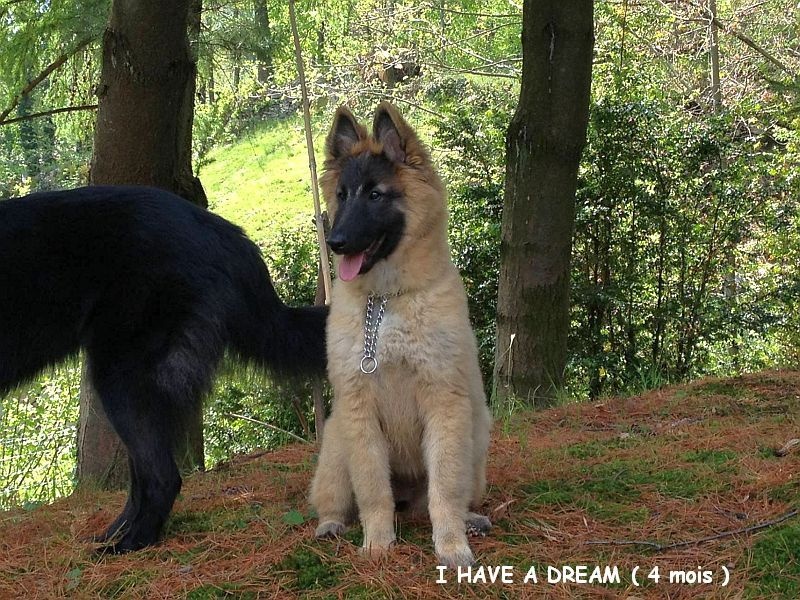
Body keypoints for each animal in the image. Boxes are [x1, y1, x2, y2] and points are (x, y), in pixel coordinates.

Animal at [0, 185, 327, 552]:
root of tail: (221, 229)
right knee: (143, 478)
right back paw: (116, 534)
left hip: (119, 377)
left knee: (162, 476)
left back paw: (130, 545)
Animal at [309, 102, 492, 567]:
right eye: (341, 196)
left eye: (376, 195)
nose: (335, 242)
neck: (386, 301)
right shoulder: (359, 411)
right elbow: (373, 490)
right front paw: (377, 544)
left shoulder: (444, 402)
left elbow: (444, 490)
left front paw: (451, 545)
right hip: (336, 445)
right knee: (334, 499)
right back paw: (331, 525)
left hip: (477, 436)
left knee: (451, 494)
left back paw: (470, 520)